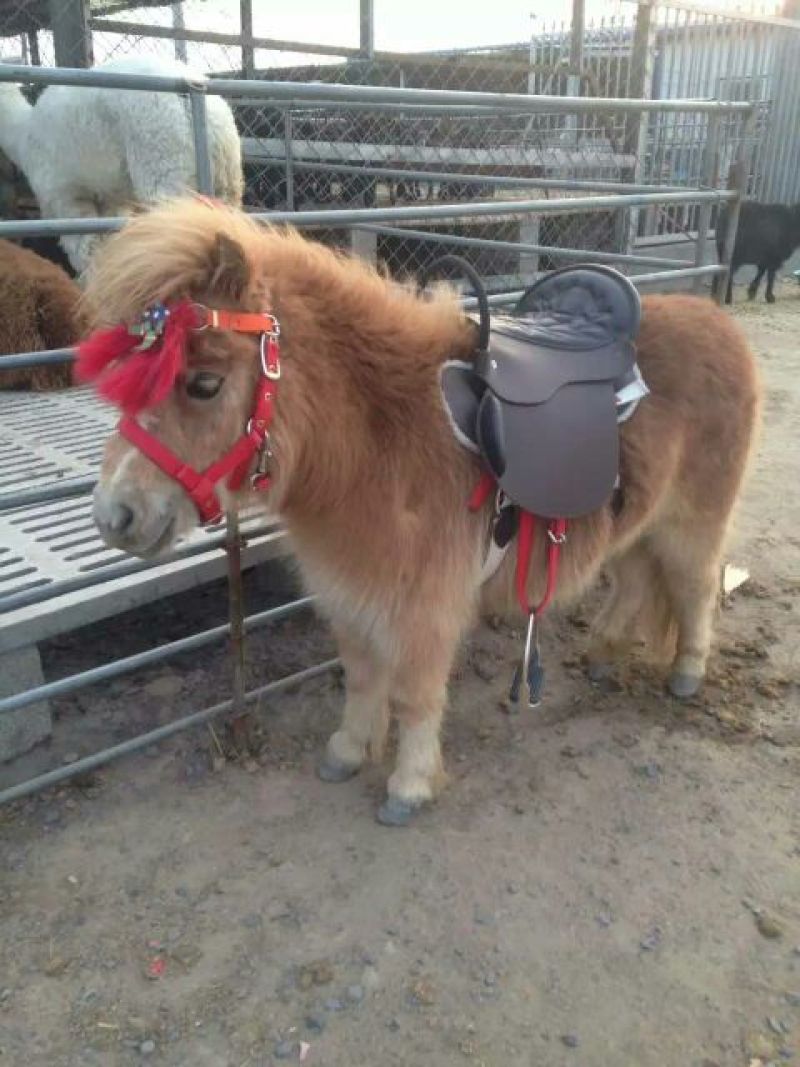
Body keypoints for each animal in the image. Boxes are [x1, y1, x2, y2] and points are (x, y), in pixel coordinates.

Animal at [80, 198, 760, 825]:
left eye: (203, 384)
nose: (114, 517)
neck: (380, 443)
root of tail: (717, 320)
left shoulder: (425, 610)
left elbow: (414, 696)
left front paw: (409, 785)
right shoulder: (351, 596)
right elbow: (361, 677)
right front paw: (348, 751)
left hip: (691, 525)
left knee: (696, 588)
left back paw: (687, 674)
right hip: (634, 526)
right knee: (636, 581)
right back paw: (602, 655)